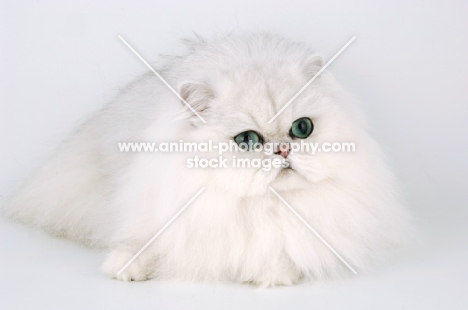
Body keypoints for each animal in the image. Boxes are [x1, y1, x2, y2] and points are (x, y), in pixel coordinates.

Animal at [3, 31, 414, 286]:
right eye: (247, 140)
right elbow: (145, 241)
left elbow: (285, 249)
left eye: (302, 129)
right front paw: (126, 267)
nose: (283, 149)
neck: (253, 206)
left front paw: (270, 272)